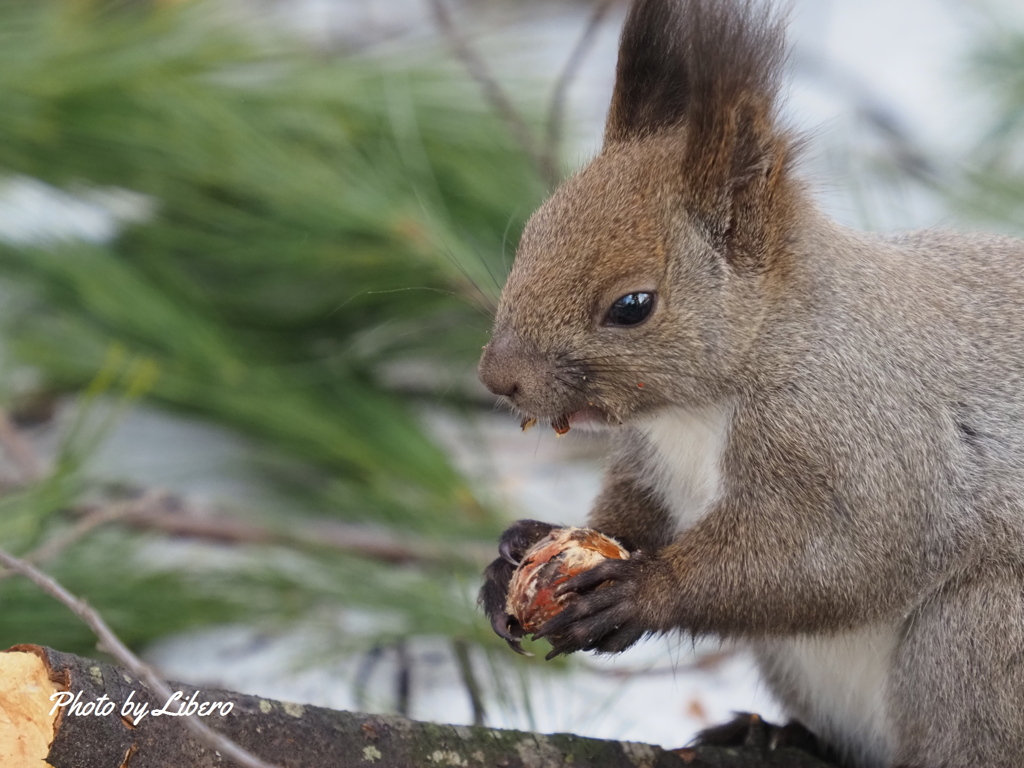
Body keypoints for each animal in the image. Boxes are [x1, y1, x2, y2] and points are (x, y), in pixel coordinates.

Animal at [475, 1, 1024, 768]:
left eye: (632, 305)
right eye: (531, 234)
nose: (499, 378)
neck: (699, 410)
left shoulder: (860, 431)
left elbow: (842, 554)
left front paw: (645, 591)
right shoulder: (653, 462)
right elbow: (632, 512)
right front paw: (517, 552)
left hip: (982, 641)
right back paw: (774, 734)